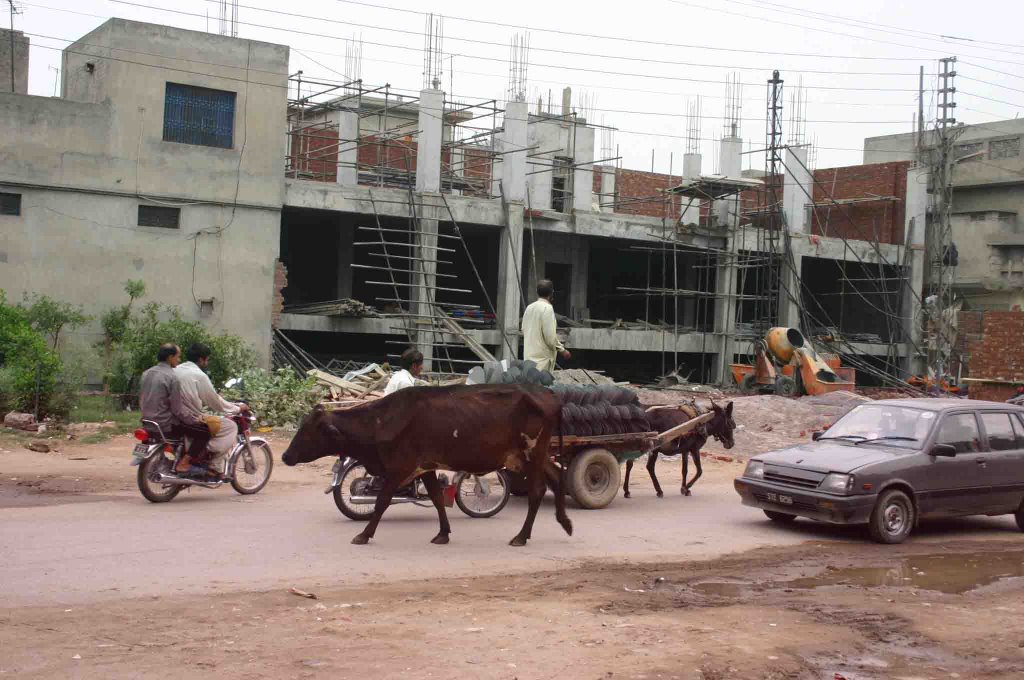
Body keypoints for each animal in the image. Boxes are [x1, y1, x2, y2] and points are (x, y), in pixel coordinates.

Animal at [280, 383, 573, 548]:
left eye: (307, 432)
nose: (285, 456)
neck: (379, 422)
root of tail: (550, 394)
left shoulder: (400, 467)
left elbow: (382, 501)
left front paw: (364, 534)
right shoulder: (427, 466)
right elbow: (436, 497)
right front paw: (443, 533)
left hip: (532, 453)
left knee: (537, 491)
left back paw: (521, 537)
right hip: (532, 456)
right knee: (558, 477)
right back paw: (565, 522)